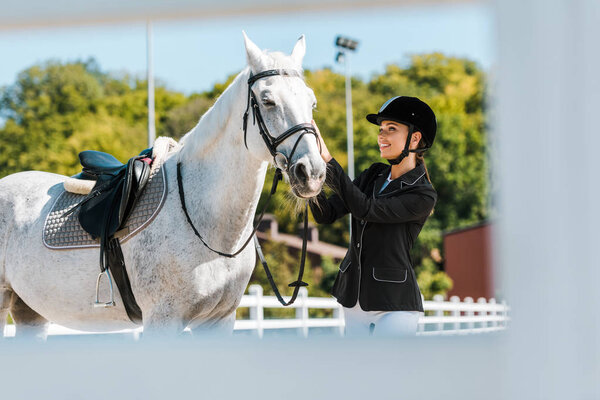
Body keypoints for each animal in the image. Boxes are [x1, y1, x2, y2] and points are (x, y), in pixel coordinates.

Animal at [0, 34, 326, 340]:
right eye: (268, 100)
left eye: (312, 102)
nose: (311, 172)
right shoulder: (163, 318)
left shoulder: (218, 321)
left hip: (29, 311)